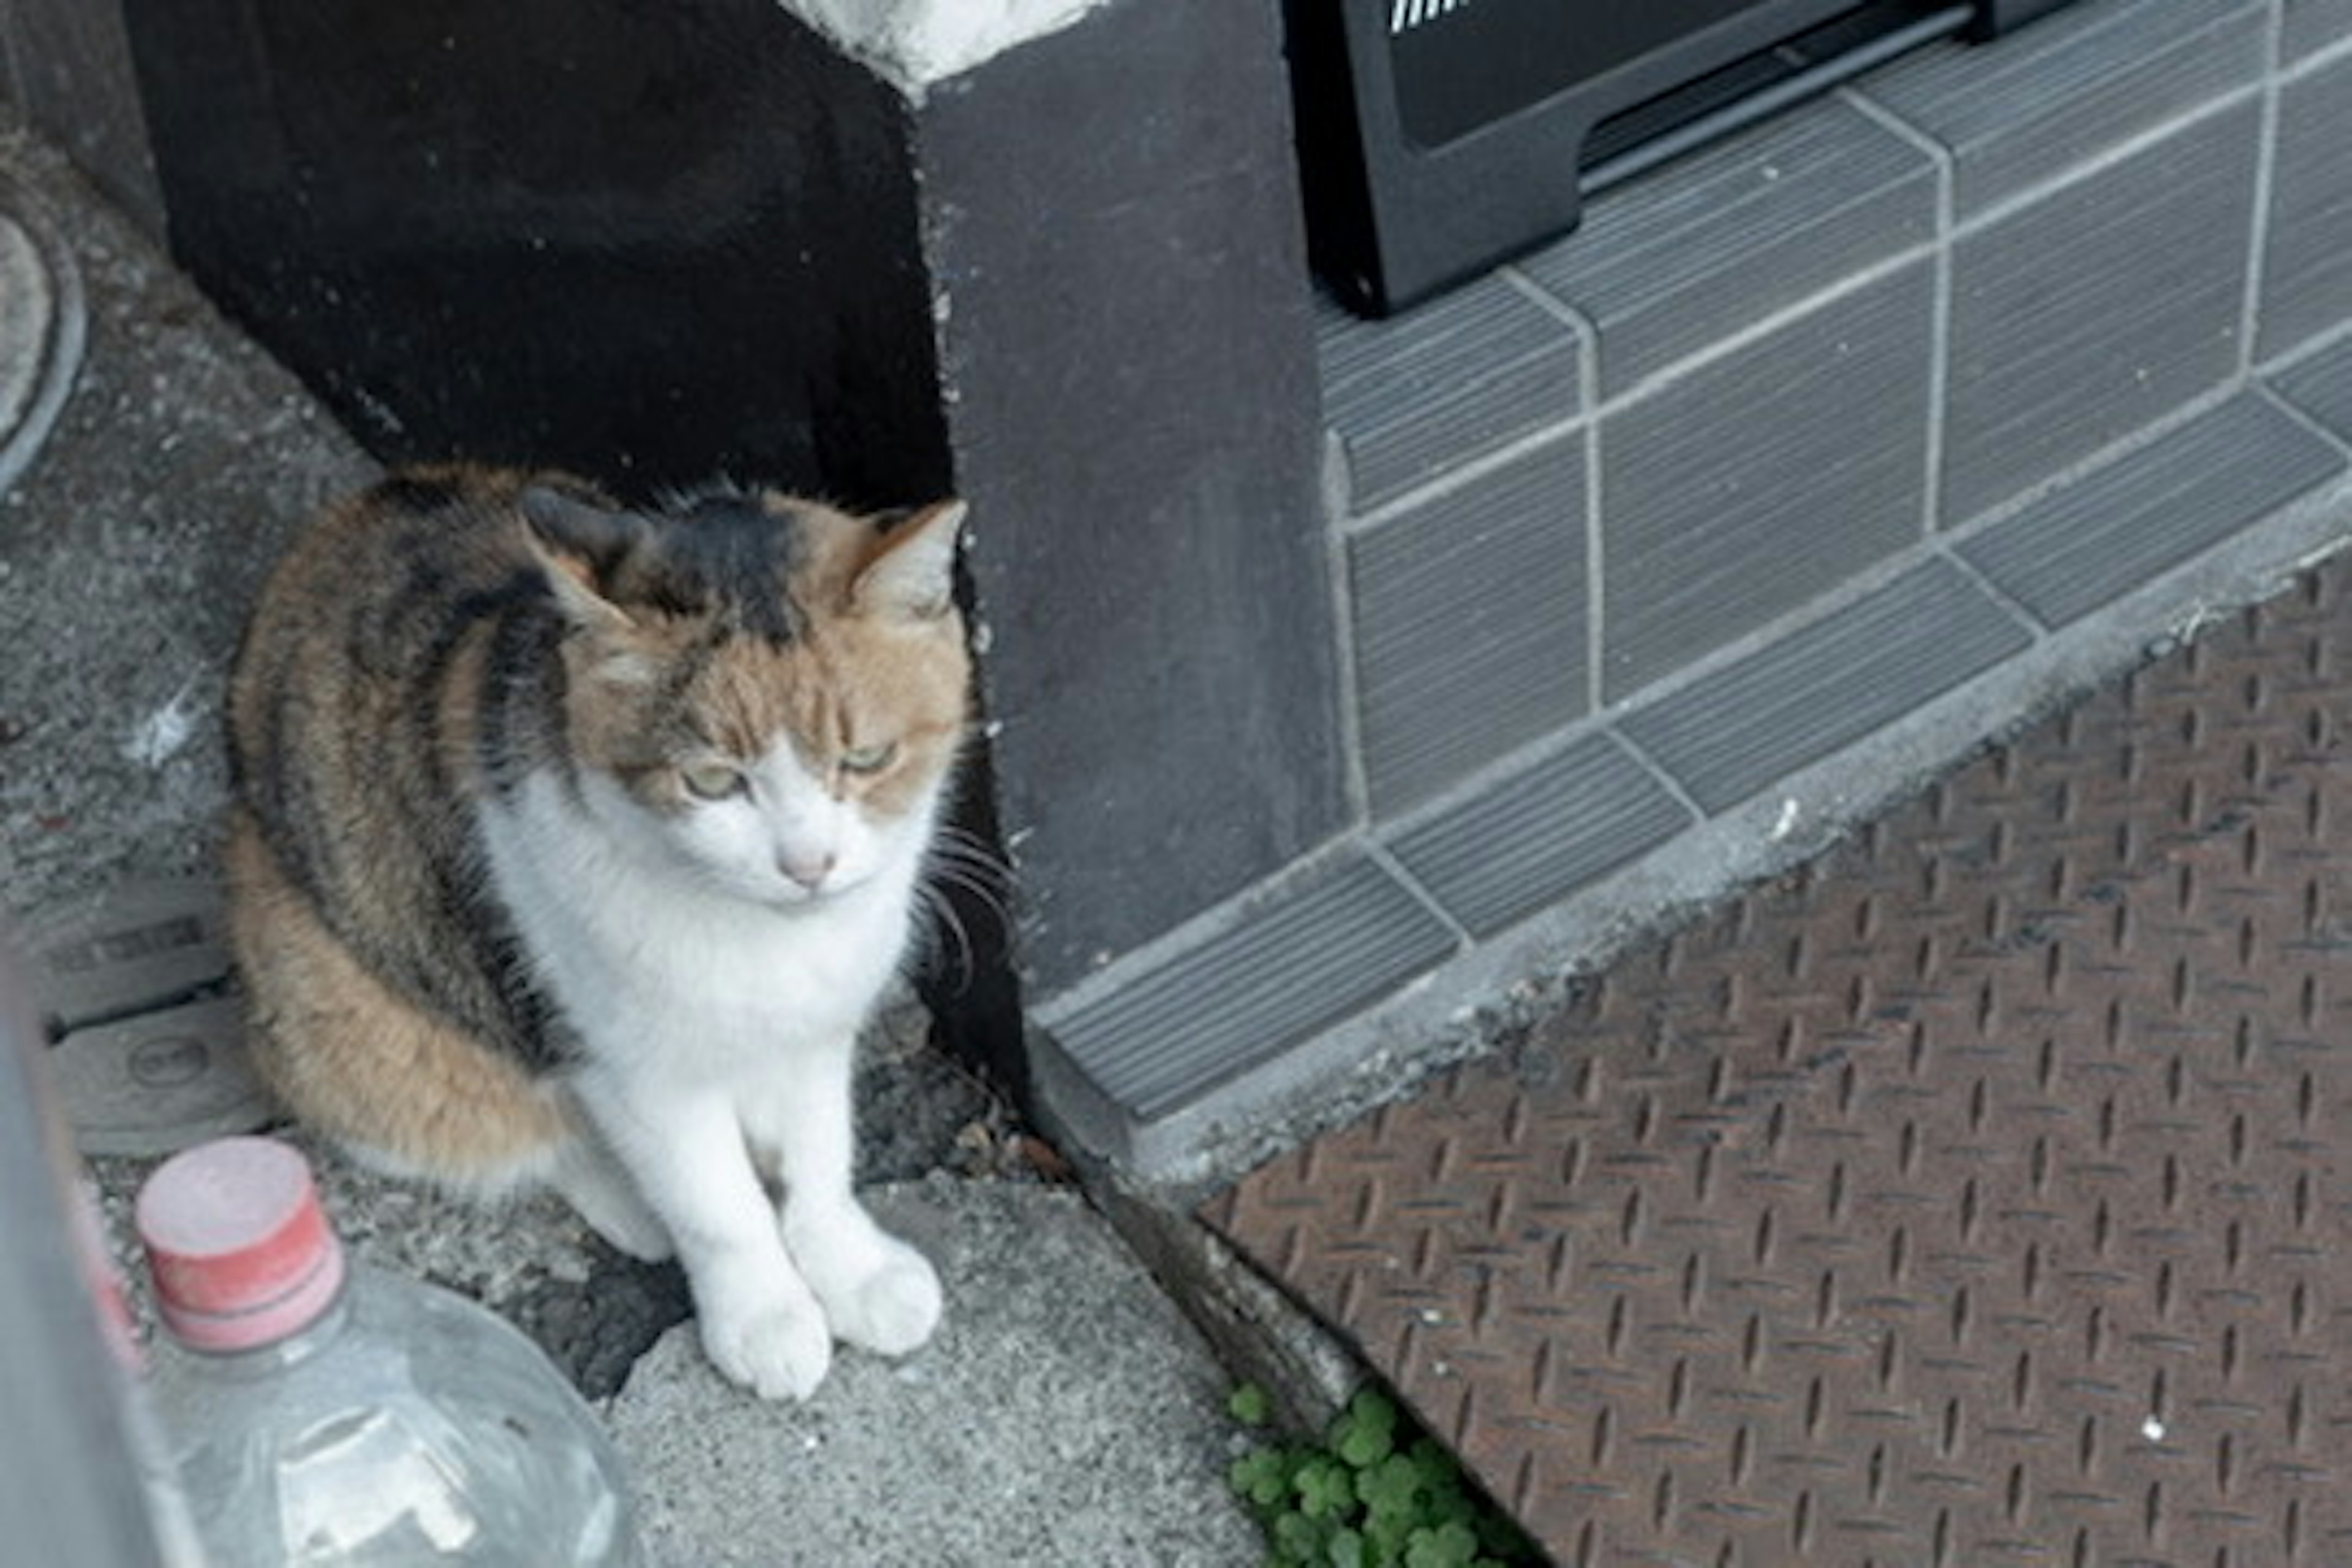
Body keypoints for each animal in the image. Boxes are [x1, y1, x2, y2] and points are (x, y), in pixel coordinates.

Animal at [227, 465, 973, 1401]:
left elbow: (820, 1163)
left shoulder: (816, 1031)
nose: (808, 864)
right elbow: (717, 1205)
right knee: (509, 1131)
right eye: (713, 781)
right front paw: (764, 1316)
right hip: (346, 1025)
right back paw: (628, 1200)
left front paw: (853, 1271)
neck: (765, 946)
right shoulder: (632, 1067)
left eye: (867, 759)